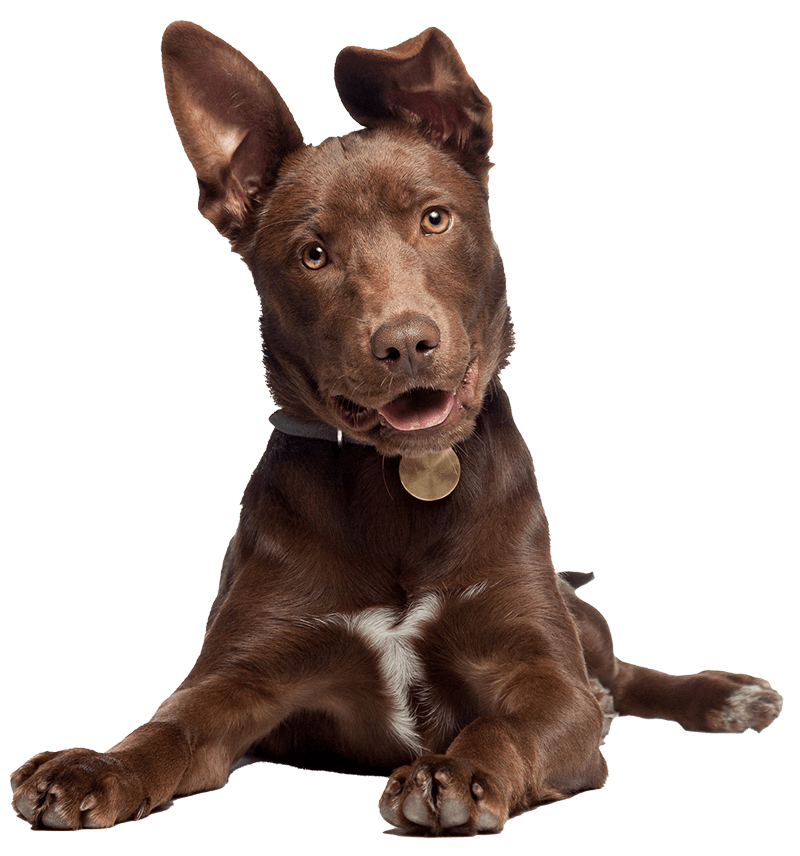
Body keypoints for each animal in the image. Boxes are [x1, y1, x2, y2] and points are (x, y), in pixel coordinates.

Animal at [10, 23, 780, 832]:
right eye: (313, 254)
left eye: (434, 218)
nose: (406, 343)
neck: (402, 485)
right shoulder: (244, 673)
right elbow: (169, 728)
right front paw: (97, 767)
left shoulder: (544, 673)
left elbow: (506, 721)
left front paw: (458, 770)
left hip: (581, 624)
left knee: (620, 675)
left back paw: (721, 695)